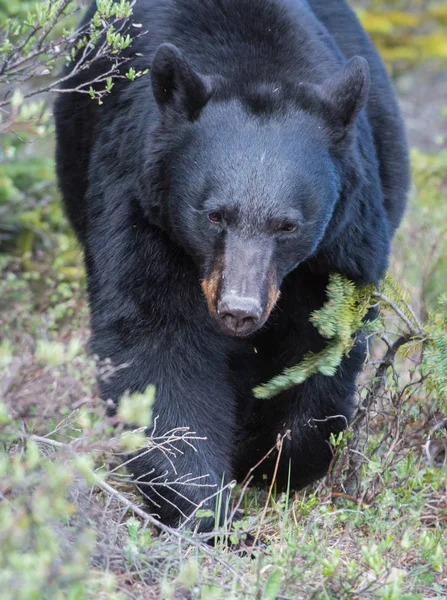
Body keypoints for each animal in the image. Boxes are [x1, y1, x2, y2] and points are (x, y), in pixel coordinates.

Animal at [55, 0, 410, 532]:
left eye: (288, 225)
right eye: (214, 215)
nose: (238, 310)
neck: (256, 69)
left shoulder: (340, 240)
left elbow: (323, 341)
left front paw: (275, 459)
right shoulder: (139, 203)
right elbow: (154, 339)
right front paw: (206, 506)